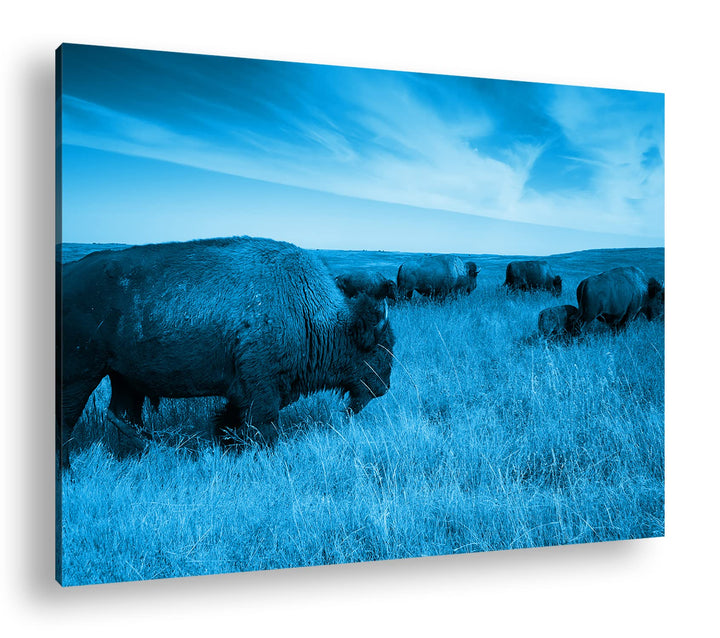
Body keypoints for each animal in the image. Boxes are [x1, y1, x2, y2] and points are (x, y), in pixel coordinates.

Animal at [57, 236, 395, 469]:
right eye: (379, 347)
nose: (384, 387)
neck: (307, 308)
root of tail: (66, 274)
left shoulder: (243, 391)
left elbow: (230, 419)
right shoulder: (262, 388)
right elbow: (263, 425)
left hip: (124, 378)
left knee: (122, 414)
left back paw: (143, 454)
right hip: (80, 376)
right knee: (67, 422)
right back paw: (70, 472)